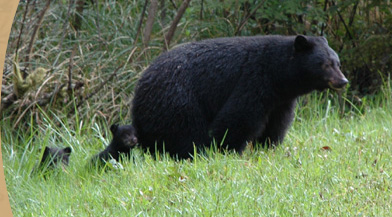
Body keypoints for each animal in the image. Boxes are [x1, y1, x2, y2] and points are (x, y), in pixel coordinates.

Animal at [132, 34, 350, 159]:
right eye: (325, 64)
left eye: (337, 63)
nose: (343, 81)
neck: (277, 73)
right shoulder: (252, 80)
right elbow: (237, 117)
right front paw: (227, 150)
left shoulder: (281, 100)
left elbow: (277, 123)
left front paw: (268, 147)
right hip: (178, 100)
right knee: (187, 132)